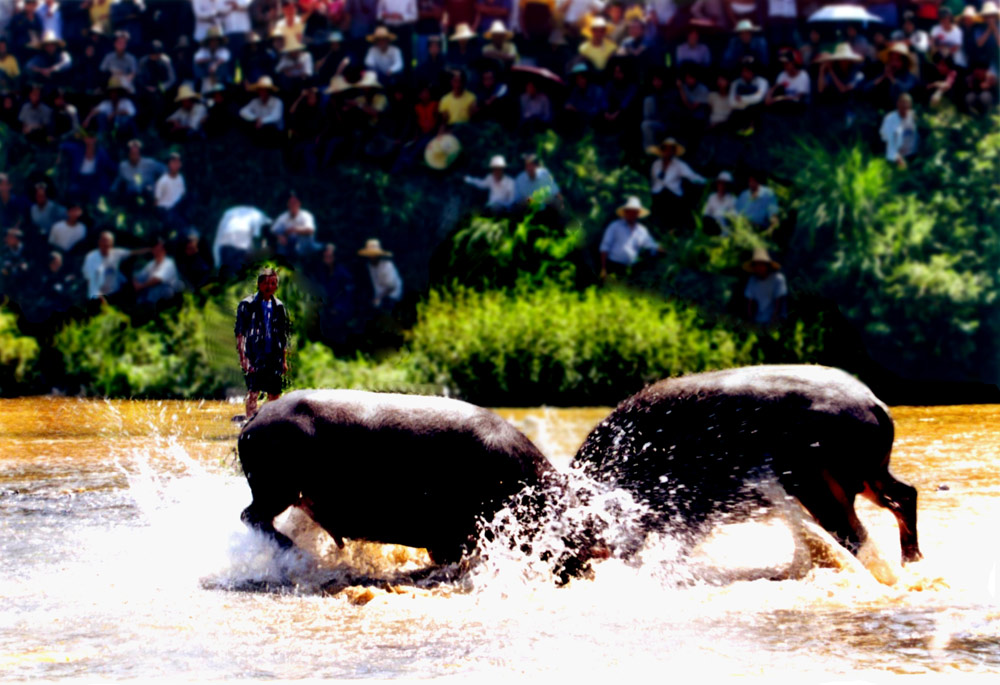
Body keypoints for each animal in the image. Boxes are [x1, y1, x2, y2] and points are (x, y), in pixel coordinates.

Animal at [572, 364, 920, 560]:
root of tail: (875, 403)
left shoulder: (689, 511)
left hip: (824, 484)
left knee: (853, 533)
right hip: (870, 475)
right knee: (904, 496)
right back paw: (911, 558)